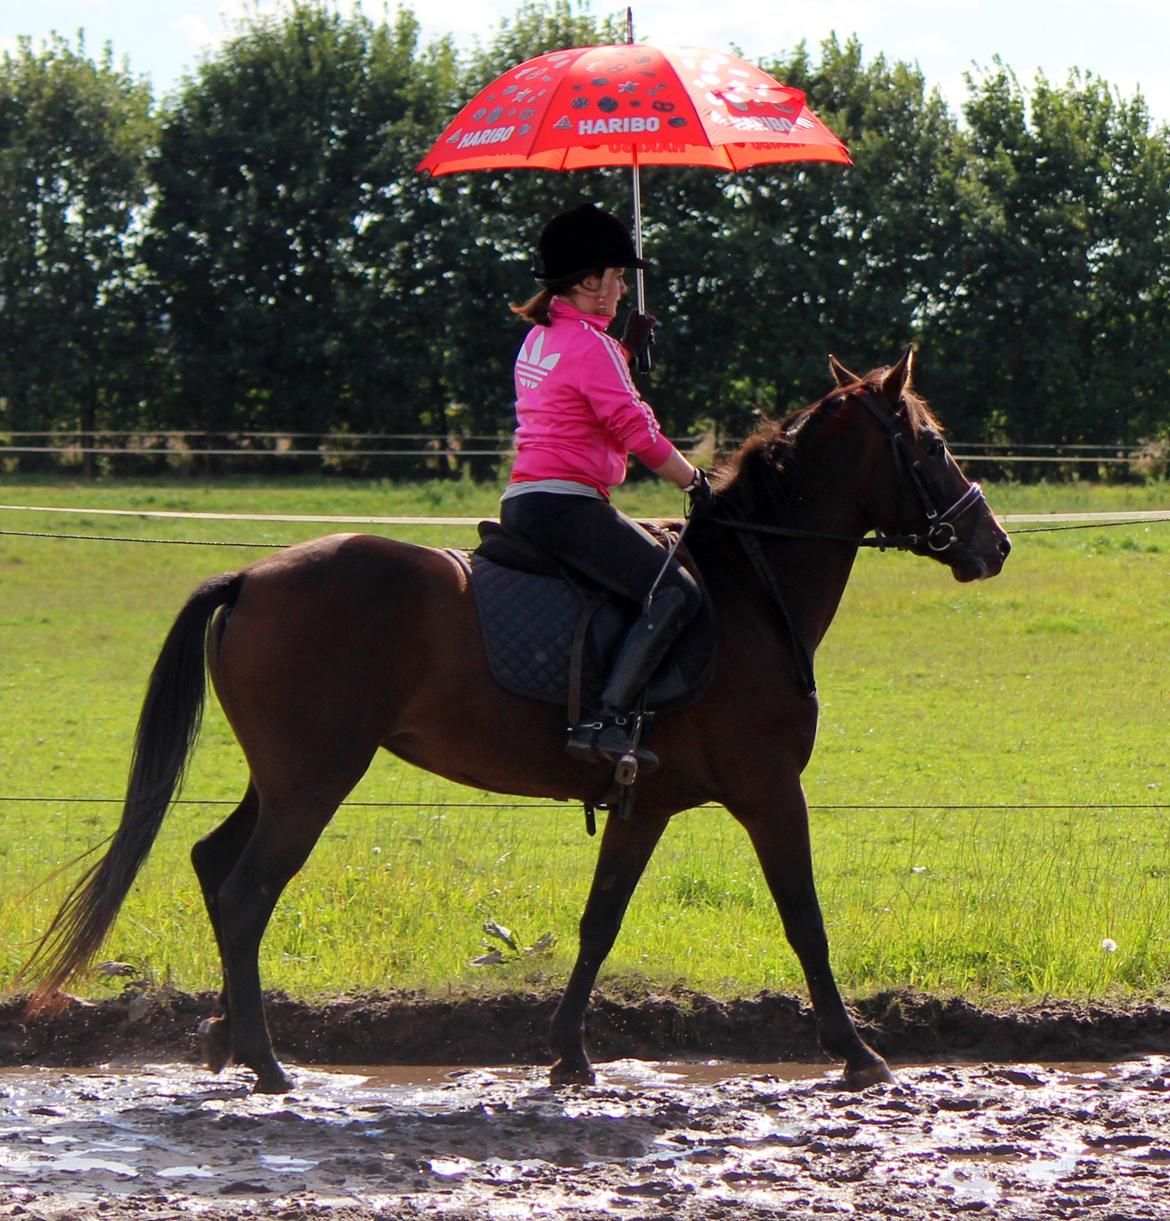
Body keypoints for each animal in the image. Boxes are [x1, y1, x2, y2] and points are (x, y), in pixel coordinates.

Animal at [22, 348, 1010, 1093]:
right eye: (930, 441)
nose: (992, 542)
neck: (746, 590)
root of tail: (252, 578)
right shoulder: (770, 792)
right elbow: (805, 917)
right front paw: (858, 1052)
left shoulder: (647, 802)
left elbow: (601, 919)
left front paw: (570, 1052)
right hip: (314, 780)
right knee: (244, 892)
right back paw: (266, 1062)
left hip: (286, 776)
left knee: (212, 864)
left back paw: (227, 1039)